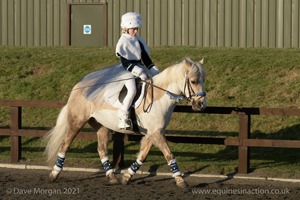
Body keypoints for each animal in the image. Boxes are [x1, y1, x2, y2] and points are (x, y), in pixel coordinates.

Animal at [44, 57, 206, 188]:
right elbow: (169, 155)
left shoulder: (153, 133)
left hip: (101, 126)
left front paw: (127, 177)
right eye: (193, 81)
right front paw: (180, 180)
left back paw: (112, 177)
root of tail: (78, 86)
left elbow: (142, 155)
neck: (159, 97)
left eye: (203, 80)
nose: (201, 105)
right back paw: (54, 174)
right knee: (65, 144)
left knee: (101, 149)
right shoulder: (156, 133)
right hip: (77, 122)